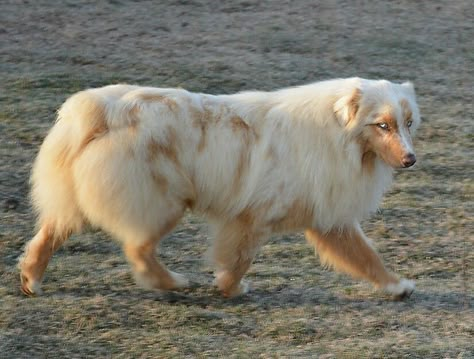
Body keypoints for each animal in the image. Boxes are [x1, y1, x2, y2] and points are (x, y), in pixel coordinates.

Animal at [18, 78, 420, 298]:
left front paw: (395, 285)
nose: (411, 159)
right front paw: (232, 288)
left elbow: (366, 256)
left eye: (409, 122)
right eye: (382, 125)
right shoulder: (253, 216)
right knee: (138, 249)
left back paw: (30, 279)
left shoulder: (329, 219)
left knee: (49, 234)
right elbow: (240, 258)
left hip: (83, 200)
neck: (337, 134)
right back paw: (171, 282)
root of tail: (99, 110)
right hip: (163, 202)